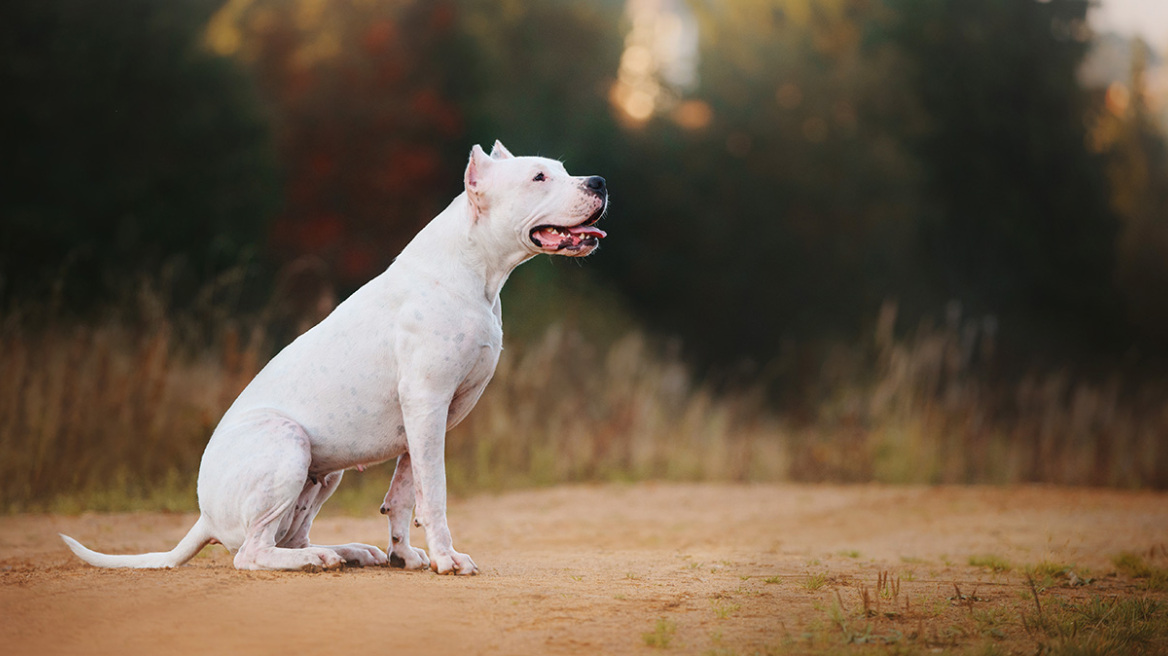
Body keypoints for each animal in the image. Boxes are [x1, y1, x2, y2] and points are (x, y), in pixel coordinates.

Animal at [61, 138, 612, 571]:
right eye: (539, 177)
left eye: (563, 169)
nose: (600, 181)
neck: (475, 271)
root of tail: (204, 516)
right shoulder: (427, 403)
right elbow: (434, 492)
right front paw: (447, 557)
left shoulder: (424, 417)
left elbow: (404, 492)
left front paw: (404, 555)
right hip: (287, 445)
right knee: (253, 553)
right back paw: (317, 559)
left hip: (323, 475)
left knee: (288, 535)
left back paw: (345, 551)